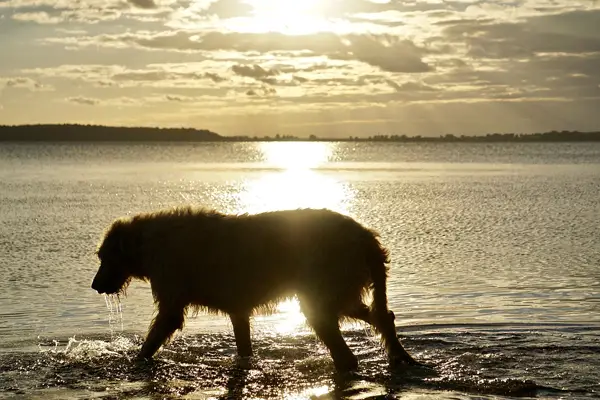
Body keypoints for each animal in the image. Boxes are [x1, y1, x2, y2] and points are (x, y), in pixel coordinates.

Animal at [91, 208, 420, 370]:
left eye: (103, 256)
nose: (95, 285)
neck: (147, 246)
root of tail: (367, 237)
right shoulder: (236, 303)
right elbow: (242, 337)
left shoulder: (173, 281)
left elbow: (165, 322)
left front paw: (137, 357)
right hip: (344, 281)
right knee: (377, 313)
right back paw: (399, 354)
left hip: (327, 275)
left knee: (332, 327)